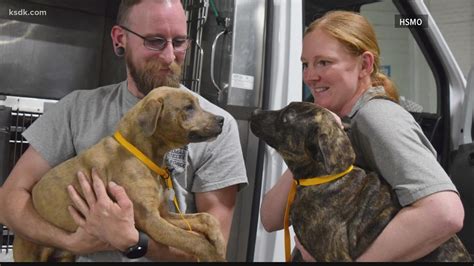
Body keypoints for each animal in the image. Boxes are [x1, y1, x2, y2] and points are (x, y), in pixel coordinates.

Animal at [13, 87, 228, 262]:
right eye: (188, 108)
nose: (222, 120)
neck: (141, 154)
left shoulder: (163, 215)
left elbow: (206, 217)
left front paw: (219, 241)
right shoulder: (152, 221)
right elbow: (193, 241)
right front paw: (213, 255)